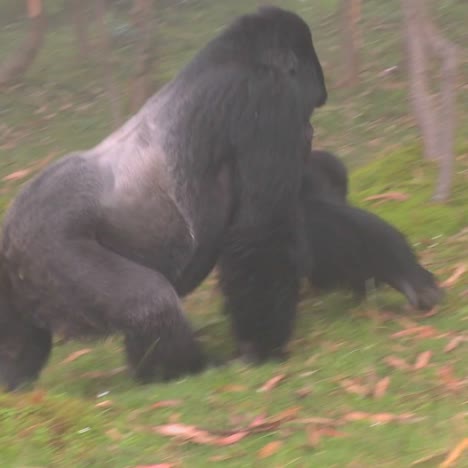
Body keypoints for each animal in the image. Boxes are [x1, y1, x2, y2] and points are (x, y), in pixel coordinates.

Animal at [0, 7, 328, 390]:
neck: (243, 56)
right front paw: (261, 348)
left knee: (18, 342)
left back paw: (15, 380)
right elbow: (261, 233)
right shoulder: (267, 101)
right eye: (310, 101)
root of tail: (9, 231)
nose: (310, 132)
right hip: (51, 246)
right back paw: (181, 371)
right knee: (151, 302)